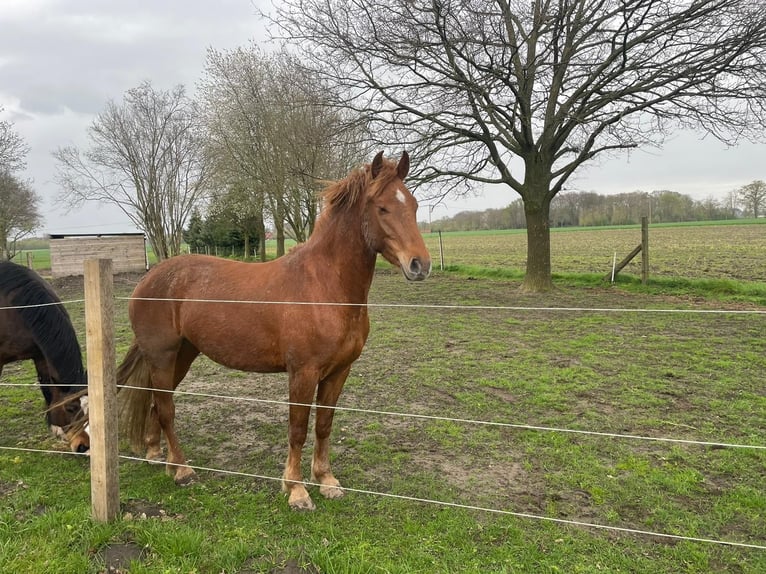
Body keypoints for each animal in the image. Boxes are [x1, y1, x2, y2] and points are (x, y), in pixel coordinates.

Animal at [118, 151, 432, 510]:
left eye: (414, 205)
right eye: (382, 208)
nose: (420, 265)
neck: (325, 287)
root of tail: (148, 279)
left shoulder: (339, 371)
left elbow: (324, 425)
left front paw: (326, 480)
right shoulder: (303, 372)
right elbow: (297, 429)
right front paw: (296, 490)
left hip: (182, 355)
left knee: (157, 403)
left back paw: (159, 456)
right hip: (162, 356)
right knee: (167, 409)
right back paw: (183, 470)